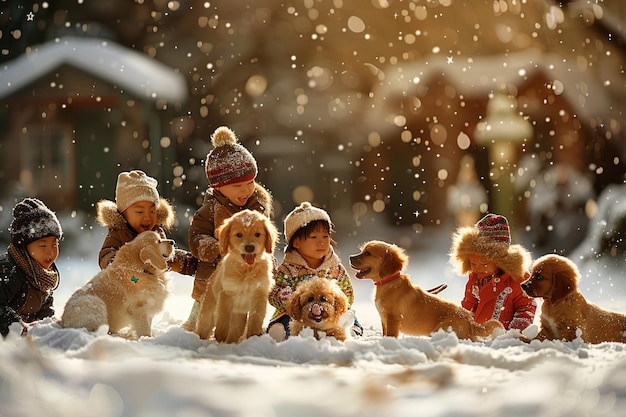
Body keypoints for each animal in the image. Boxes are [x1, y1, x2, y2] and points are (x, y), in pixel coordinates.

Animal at [193, 210, 276, 342]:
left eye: (257, 234)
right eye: (239, 235)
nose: (249, 247)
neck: (247, 269)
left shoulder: (259, 295)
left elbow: (256, 318)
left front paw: (253, 337)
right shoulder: (227, 293)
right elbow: (224, 315)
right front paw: (220, 334)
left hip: (239, 318)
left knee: (235, 332)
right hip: (208, 312)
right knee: (204, 327)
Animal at [348, 239, 500, 340]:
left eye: (367, 253)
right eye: (362, 251)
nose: (350, 257)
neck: (388, 283)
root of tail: (470, 324)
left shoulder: (392, 318)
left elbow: (390, 335)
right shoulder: (384, 319)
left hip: (444, 328)